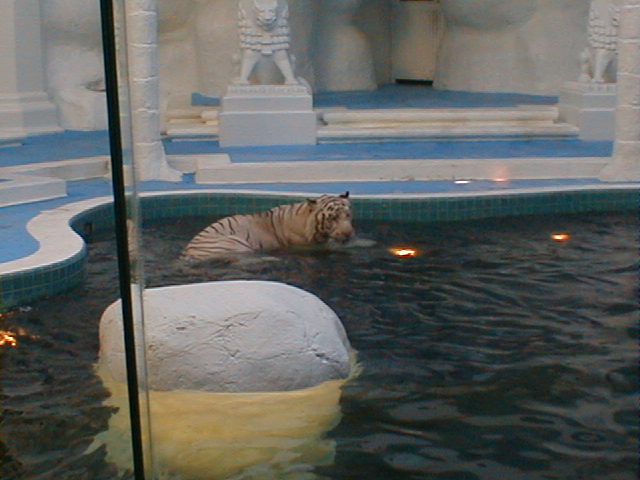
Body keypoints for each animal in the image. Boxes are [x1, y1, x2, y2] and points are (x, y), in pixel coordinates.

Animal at [180, 192, 354, 261]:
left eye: (347, 215)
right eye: (333, 218)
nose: (348, 234)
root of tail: (186, 252)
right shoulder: (306, 246)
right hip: (234, 243)